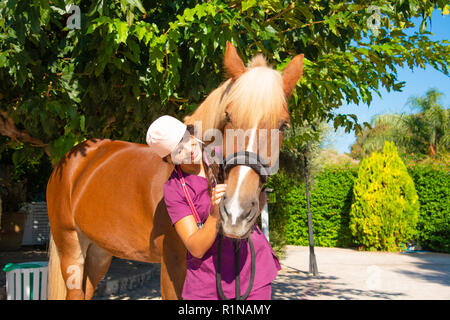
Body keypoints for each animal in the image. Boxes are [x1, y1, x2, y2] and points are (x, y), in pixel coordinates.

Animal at [47, 41, 304, 298]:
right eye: (228, 116)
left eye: (283, 125)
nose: (235, 214)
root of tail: (70, 160)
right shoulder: (172, 264)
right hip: (71, 248)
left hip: (99, 251)